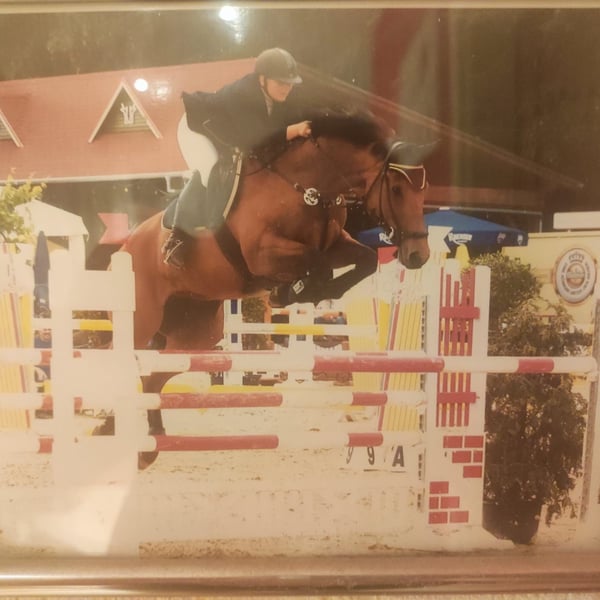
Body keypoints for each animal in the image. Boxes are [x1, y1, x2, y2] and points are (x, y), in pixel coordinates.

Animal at [98, 111, 431, 468]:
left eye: (423, 190)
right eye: (396, 189)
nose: (419, 255)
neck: (309, 187)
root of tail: (123, 248)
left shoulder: (335, 244)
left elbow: (365, 259)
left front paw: (298, 291)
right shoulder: (263, 252)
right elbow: (318, 264)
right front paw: (292, 290)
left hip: (195, 332)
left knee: (153, 377)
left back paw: (147, 445)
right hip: (140, 321)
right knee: (113, 359)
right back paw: (106, 421)